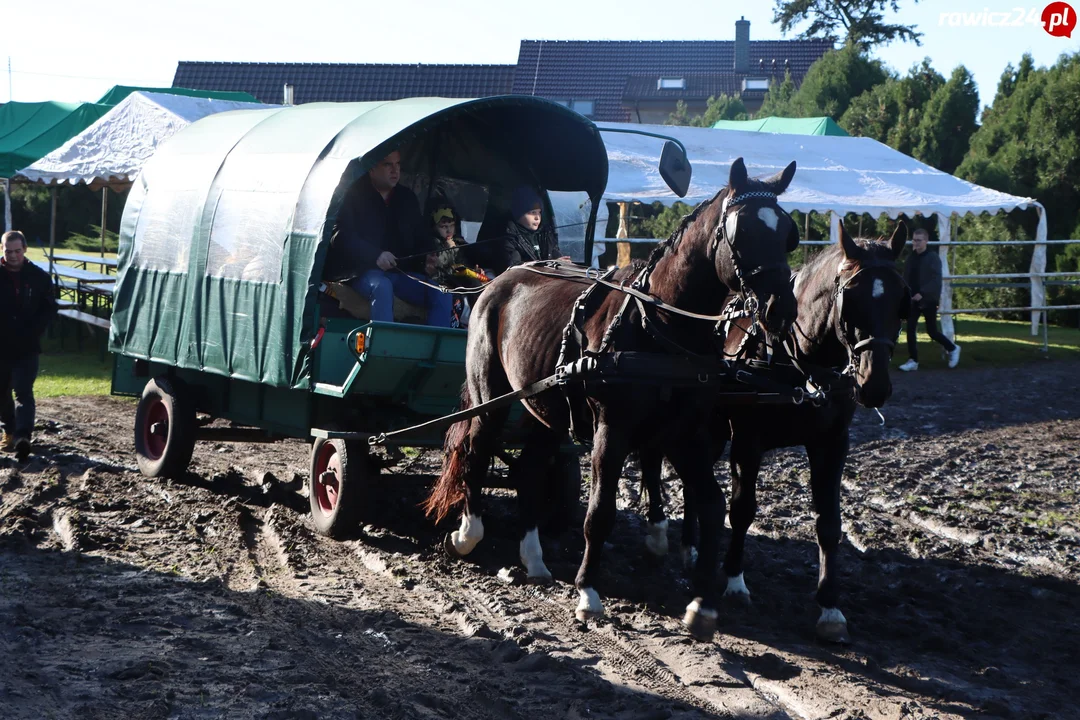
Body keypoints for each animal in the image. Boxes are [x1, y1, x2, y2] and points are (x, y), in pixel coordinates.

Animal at [421, 158, 803, 643]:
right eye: (744, 231)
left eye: (787, 232)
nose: (781, 308)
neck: (662, 327)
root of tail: (501, 280)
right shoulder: (612, 430)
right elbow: (600, 511)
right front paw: (588, 593)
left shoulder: (688, 434)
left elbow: (714, 506)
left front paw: (702, 604)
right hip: (491, 395)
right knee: (475, 449)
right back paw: (468, 533)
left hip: (545, 410)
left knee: (529, 468)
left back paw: (533, 557)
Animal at [639, 220, 911, 643]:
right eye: (850, 298)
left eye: (900, 299)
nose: (875, 384)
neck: (799, 360)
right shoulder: (748, 441)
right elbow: (742, 509)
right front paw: (735, 581)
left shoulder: (832, 443)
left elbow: (829, 523)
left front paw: (830, 608)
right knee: (655, 461)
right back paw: (658, 532)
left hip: (710, 429)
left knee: (691, 483)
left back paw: (690, 547)